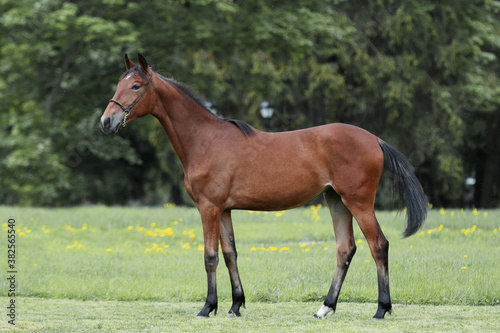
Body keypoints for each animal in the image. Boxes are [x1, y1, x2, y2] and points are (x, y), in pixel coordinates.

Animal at [100, 53, 426, 320]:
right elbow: (230, 254)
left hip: (358, 202)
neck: (205, 139)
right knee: (345, 249)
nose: (106, 121)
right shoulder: (224, 210)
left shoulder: (209, 208)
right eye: (118, 84)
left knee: (378, 245)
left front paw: (207, 307)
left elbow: (210, 257)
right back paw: (325, 307)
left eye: (136, 86)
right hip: (336, 201)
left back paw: (381, 309)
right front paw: (234, 305)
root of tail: (375, 140)